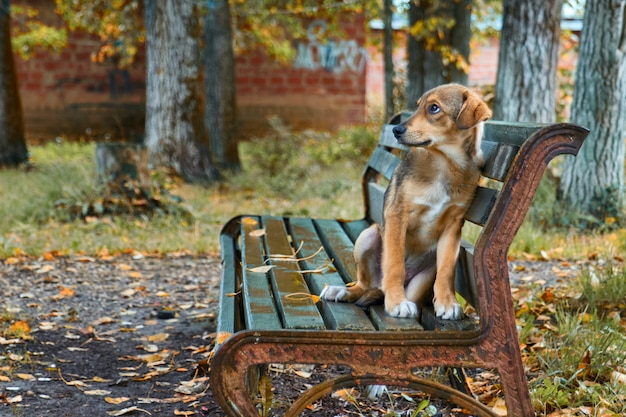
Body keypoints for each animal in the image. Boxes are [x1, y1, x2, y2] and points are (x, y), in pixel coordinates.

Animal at [320, 83, 490, 318]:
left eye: (434, 108)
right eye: (418, 106)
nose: (395, 130)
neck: (446, 164)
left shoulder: (453, 226)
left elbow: (446, 270)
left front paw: (447, 302)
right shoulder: (397, 214)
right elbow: (394, 264)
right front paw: (396, 301)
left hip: (422, 280)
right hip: (368, 235)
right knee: (365, 285)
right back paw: (344, 291)